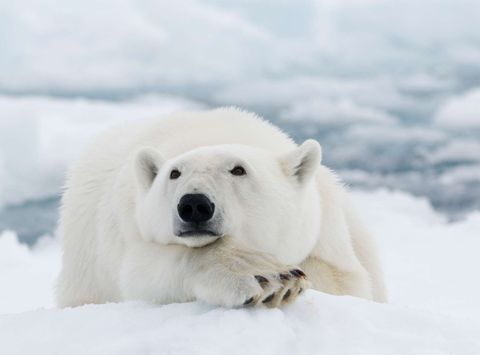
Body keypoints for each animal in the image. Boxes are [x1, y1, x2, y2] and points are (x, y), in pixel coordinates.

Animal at [56, 108, 386, 308]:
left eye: (238, 169)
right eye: (174, 173)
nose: (194, 205)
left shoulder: (325, 227)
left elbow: (344, 280)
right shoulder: (128, 227)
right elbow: (142, 271)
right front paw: (268, 276)